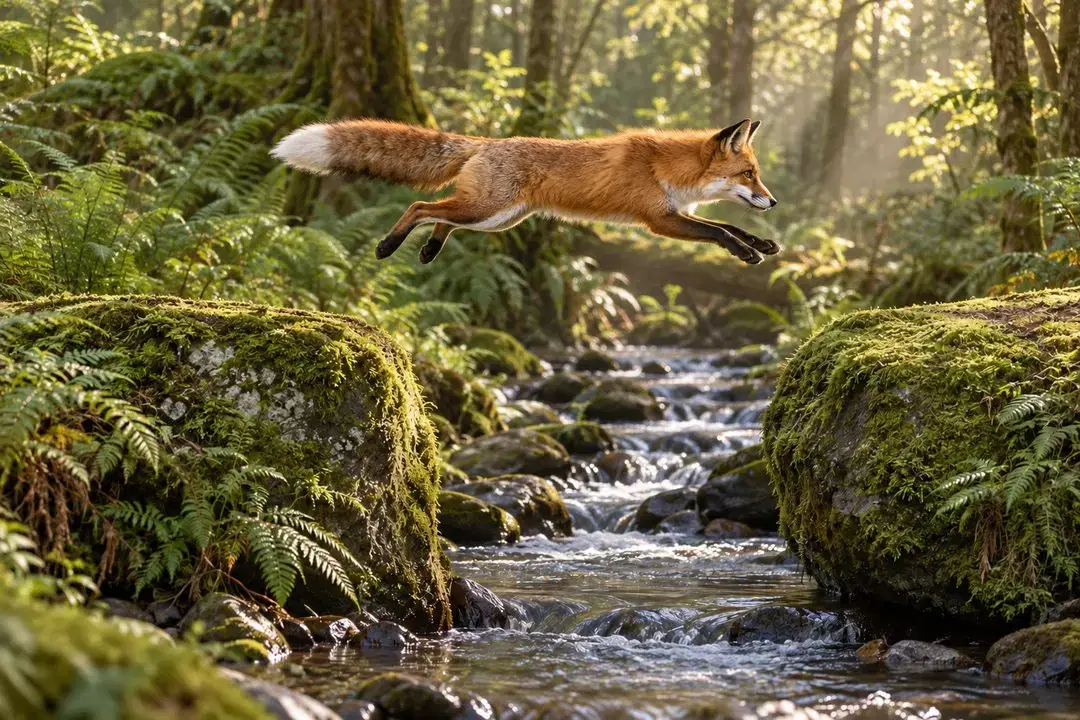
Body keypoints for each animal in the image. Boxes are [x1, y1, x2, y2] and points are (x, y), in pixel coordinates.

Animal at [271, 118, 779, 265]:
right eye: (748, 175)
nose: (773, 202)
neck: (666, 168)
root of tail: (487, 142)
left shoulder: (675, 214)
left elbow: (725, 224)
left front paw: (762, 243)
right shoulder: (659, 220)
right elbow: (720, 231)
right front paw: (746, 252)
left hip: (496, 218)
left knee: (439, 216)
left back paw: (429, 250)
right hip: (486, 209)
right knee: (418, 204)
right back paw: (388, 245)